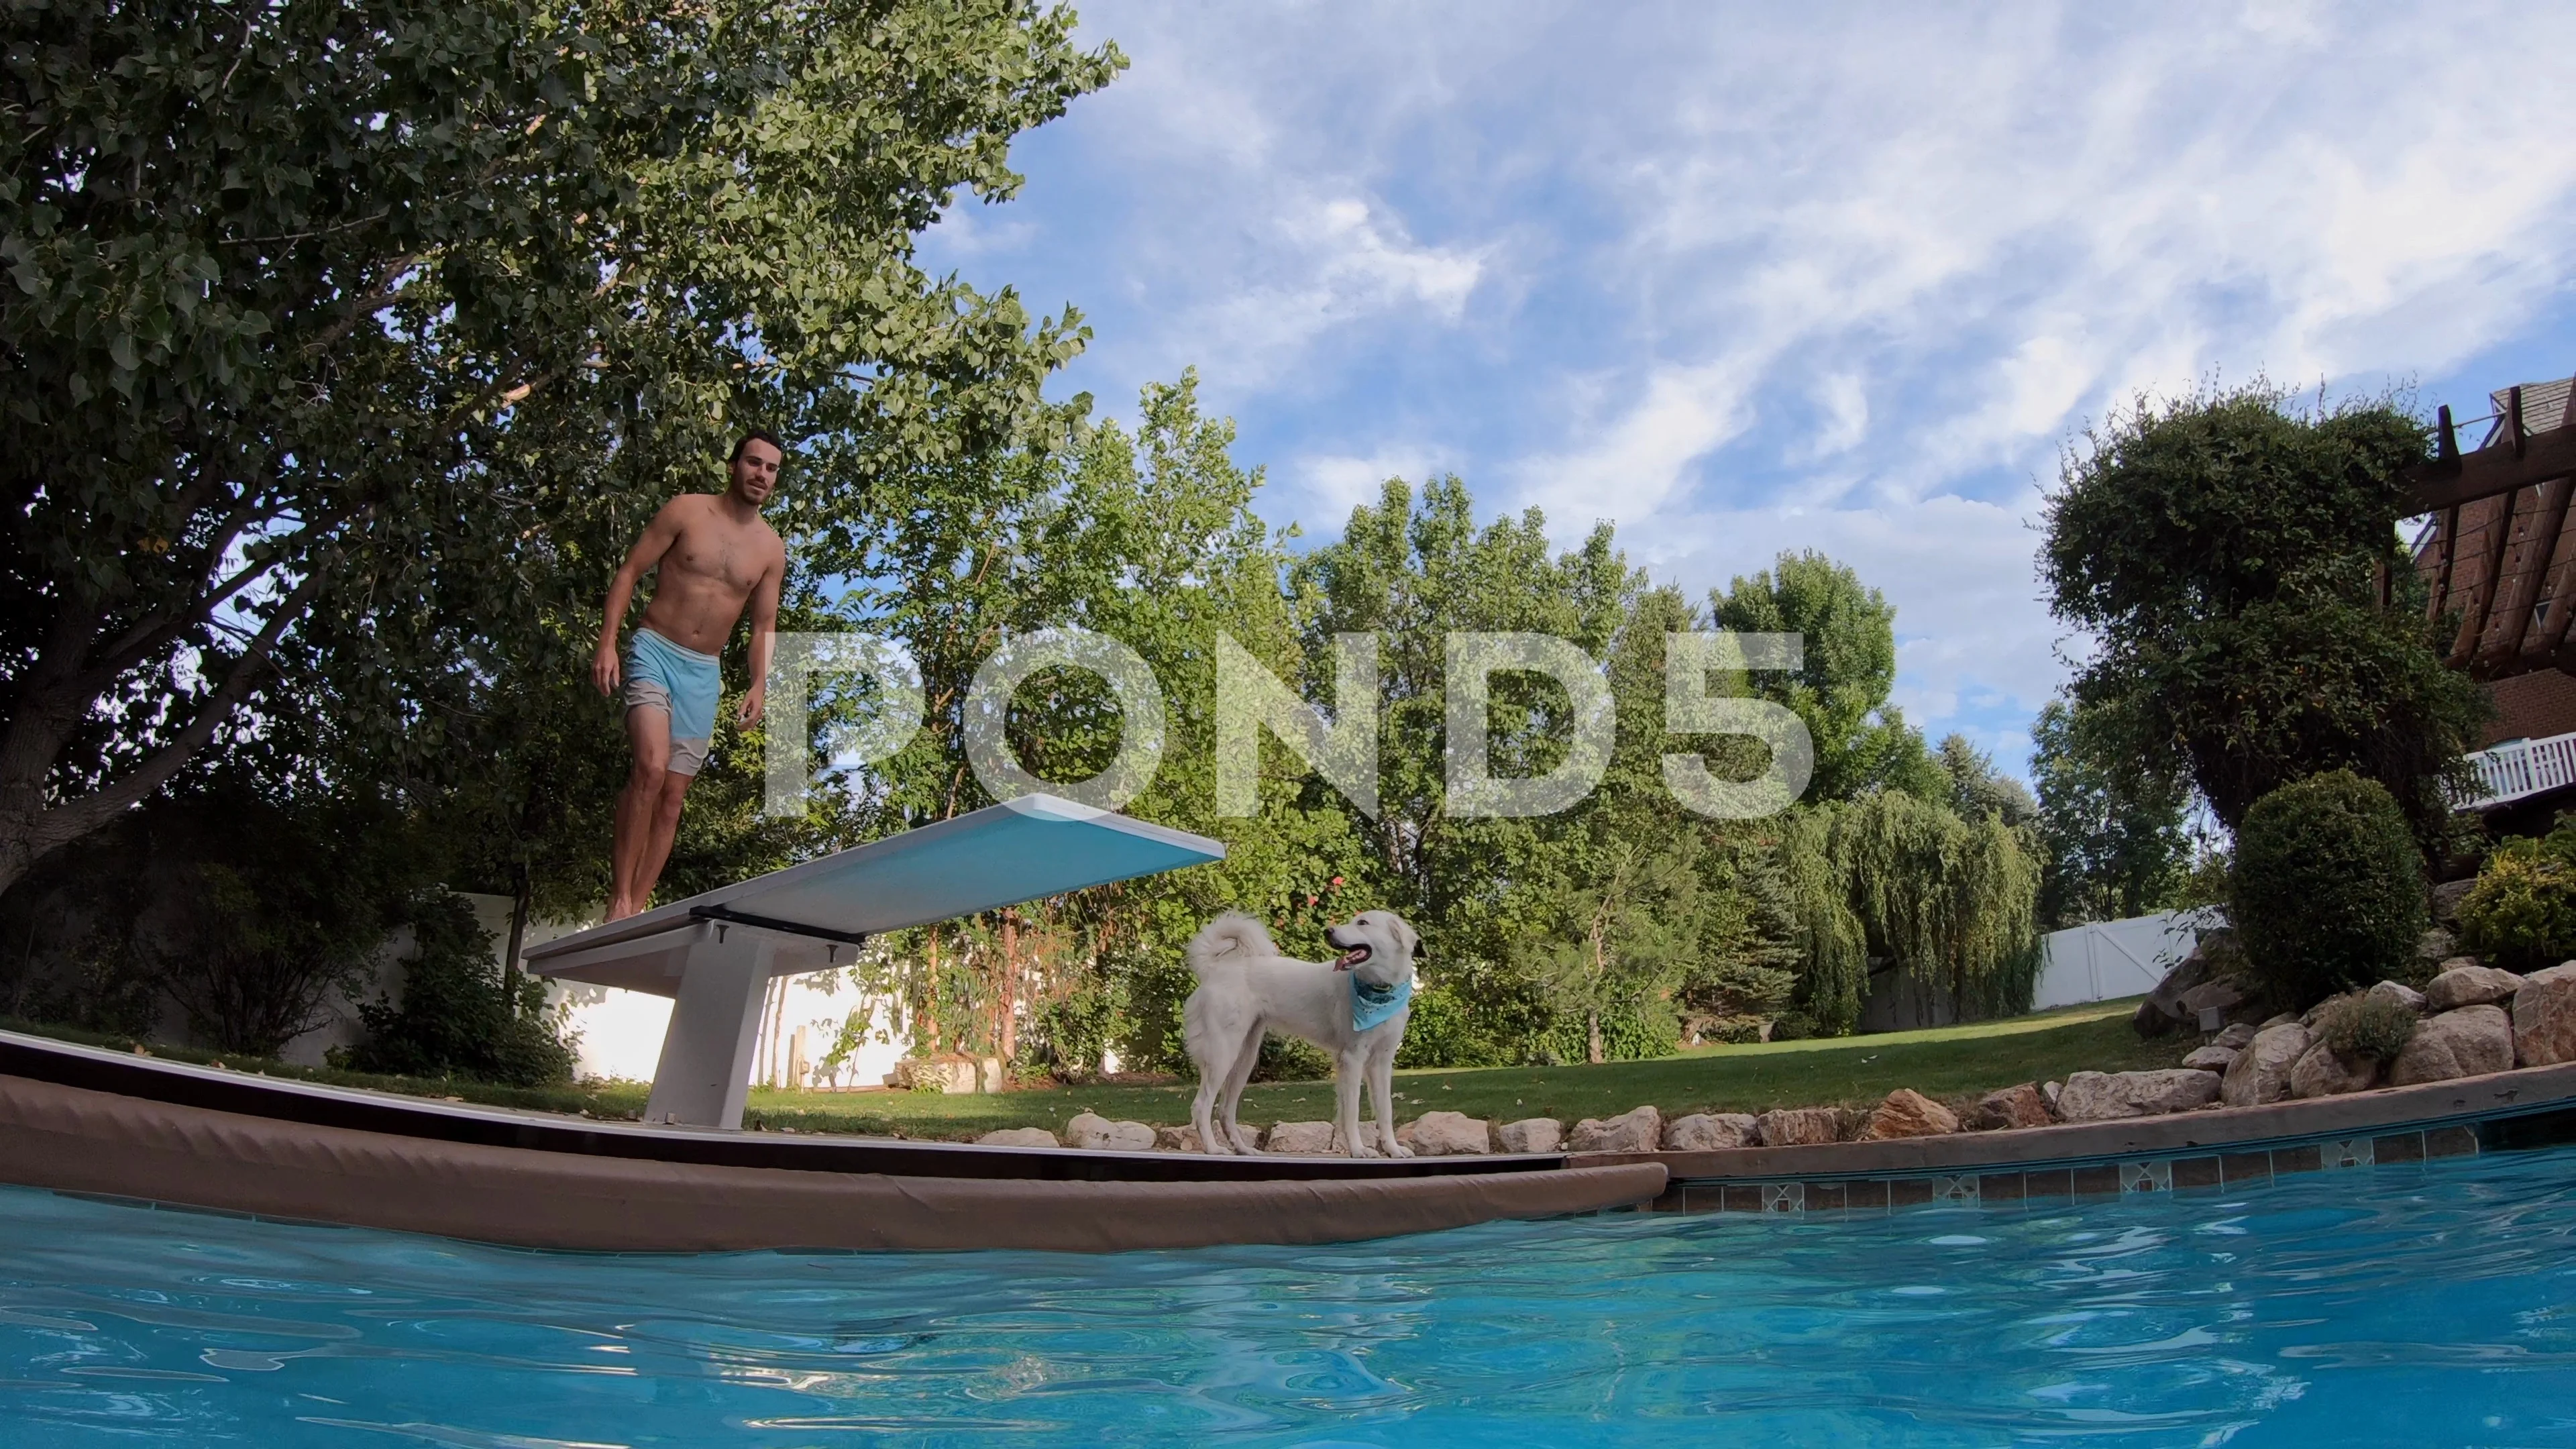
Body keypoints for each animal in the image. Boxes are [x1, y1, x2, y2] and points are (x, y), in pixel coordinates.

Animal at [1179, 907, 1421, 1155]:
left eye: (1363, 923)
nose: (1328, 931)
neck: (1379, 992)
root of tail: (1215, 969)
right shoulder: (1352, 1058)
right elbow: (1352, 1113)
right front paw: (1358, 1150)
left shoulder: (1381, 1062)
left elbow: (1385, 1111)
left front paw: (1393, 1150)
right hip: (1222, 1055)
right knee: (1201, 1106)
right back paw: (1213, 1149)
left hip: (1244, 1058)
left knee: (1225, 1110)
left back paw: (1244, 1150)